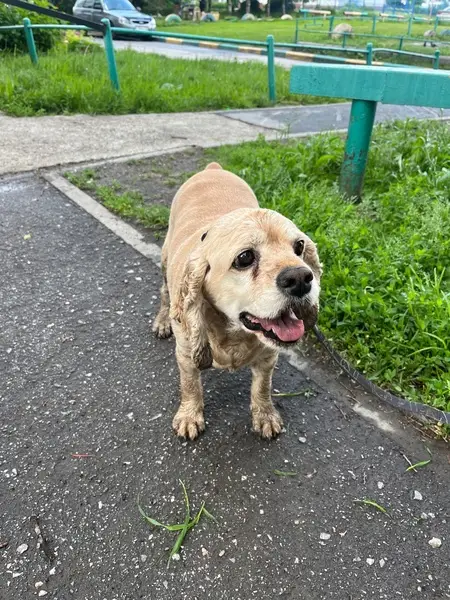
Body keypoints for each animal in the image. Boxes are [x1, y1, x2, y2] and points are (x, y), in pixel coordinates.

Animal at [153, 163, 322, 440]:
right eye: (244, 258)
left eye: (299, 246)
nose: (301, 279)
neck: (233, 333)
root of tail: (213, 167)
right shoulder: (186, 352)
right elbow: (190, 385)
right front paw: (189, 416)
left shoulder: (268, 356)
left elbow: (262, 387)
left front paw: (265, 416)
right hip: (165, 261)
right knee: (165, 294)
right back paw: (161, 321)